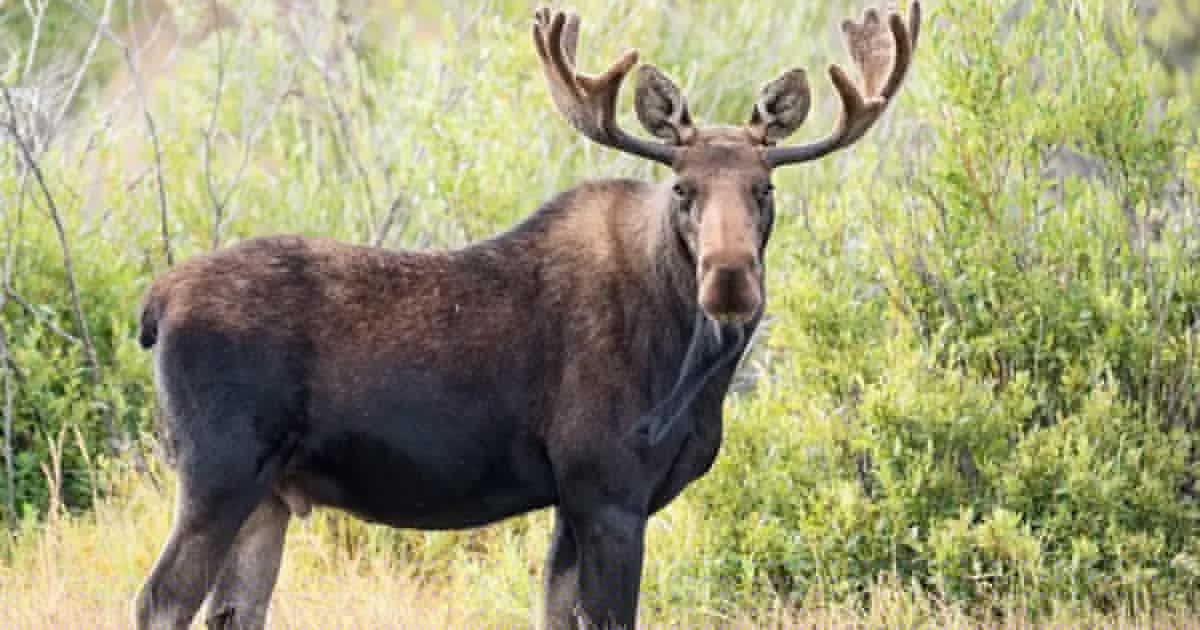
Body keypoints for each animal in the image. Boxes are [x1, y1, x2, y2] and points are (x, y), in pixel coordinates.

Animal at [132, 3, 920, 629]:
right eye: (683, 188)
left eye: (764, 187)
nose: (729, 280)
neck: (696, 372)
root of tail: (156, 303)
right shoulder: (607, 491)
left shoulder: (574, 502)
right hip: (219, 469)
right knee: (161, 599)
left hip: (268, 492)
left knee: (232, 611)